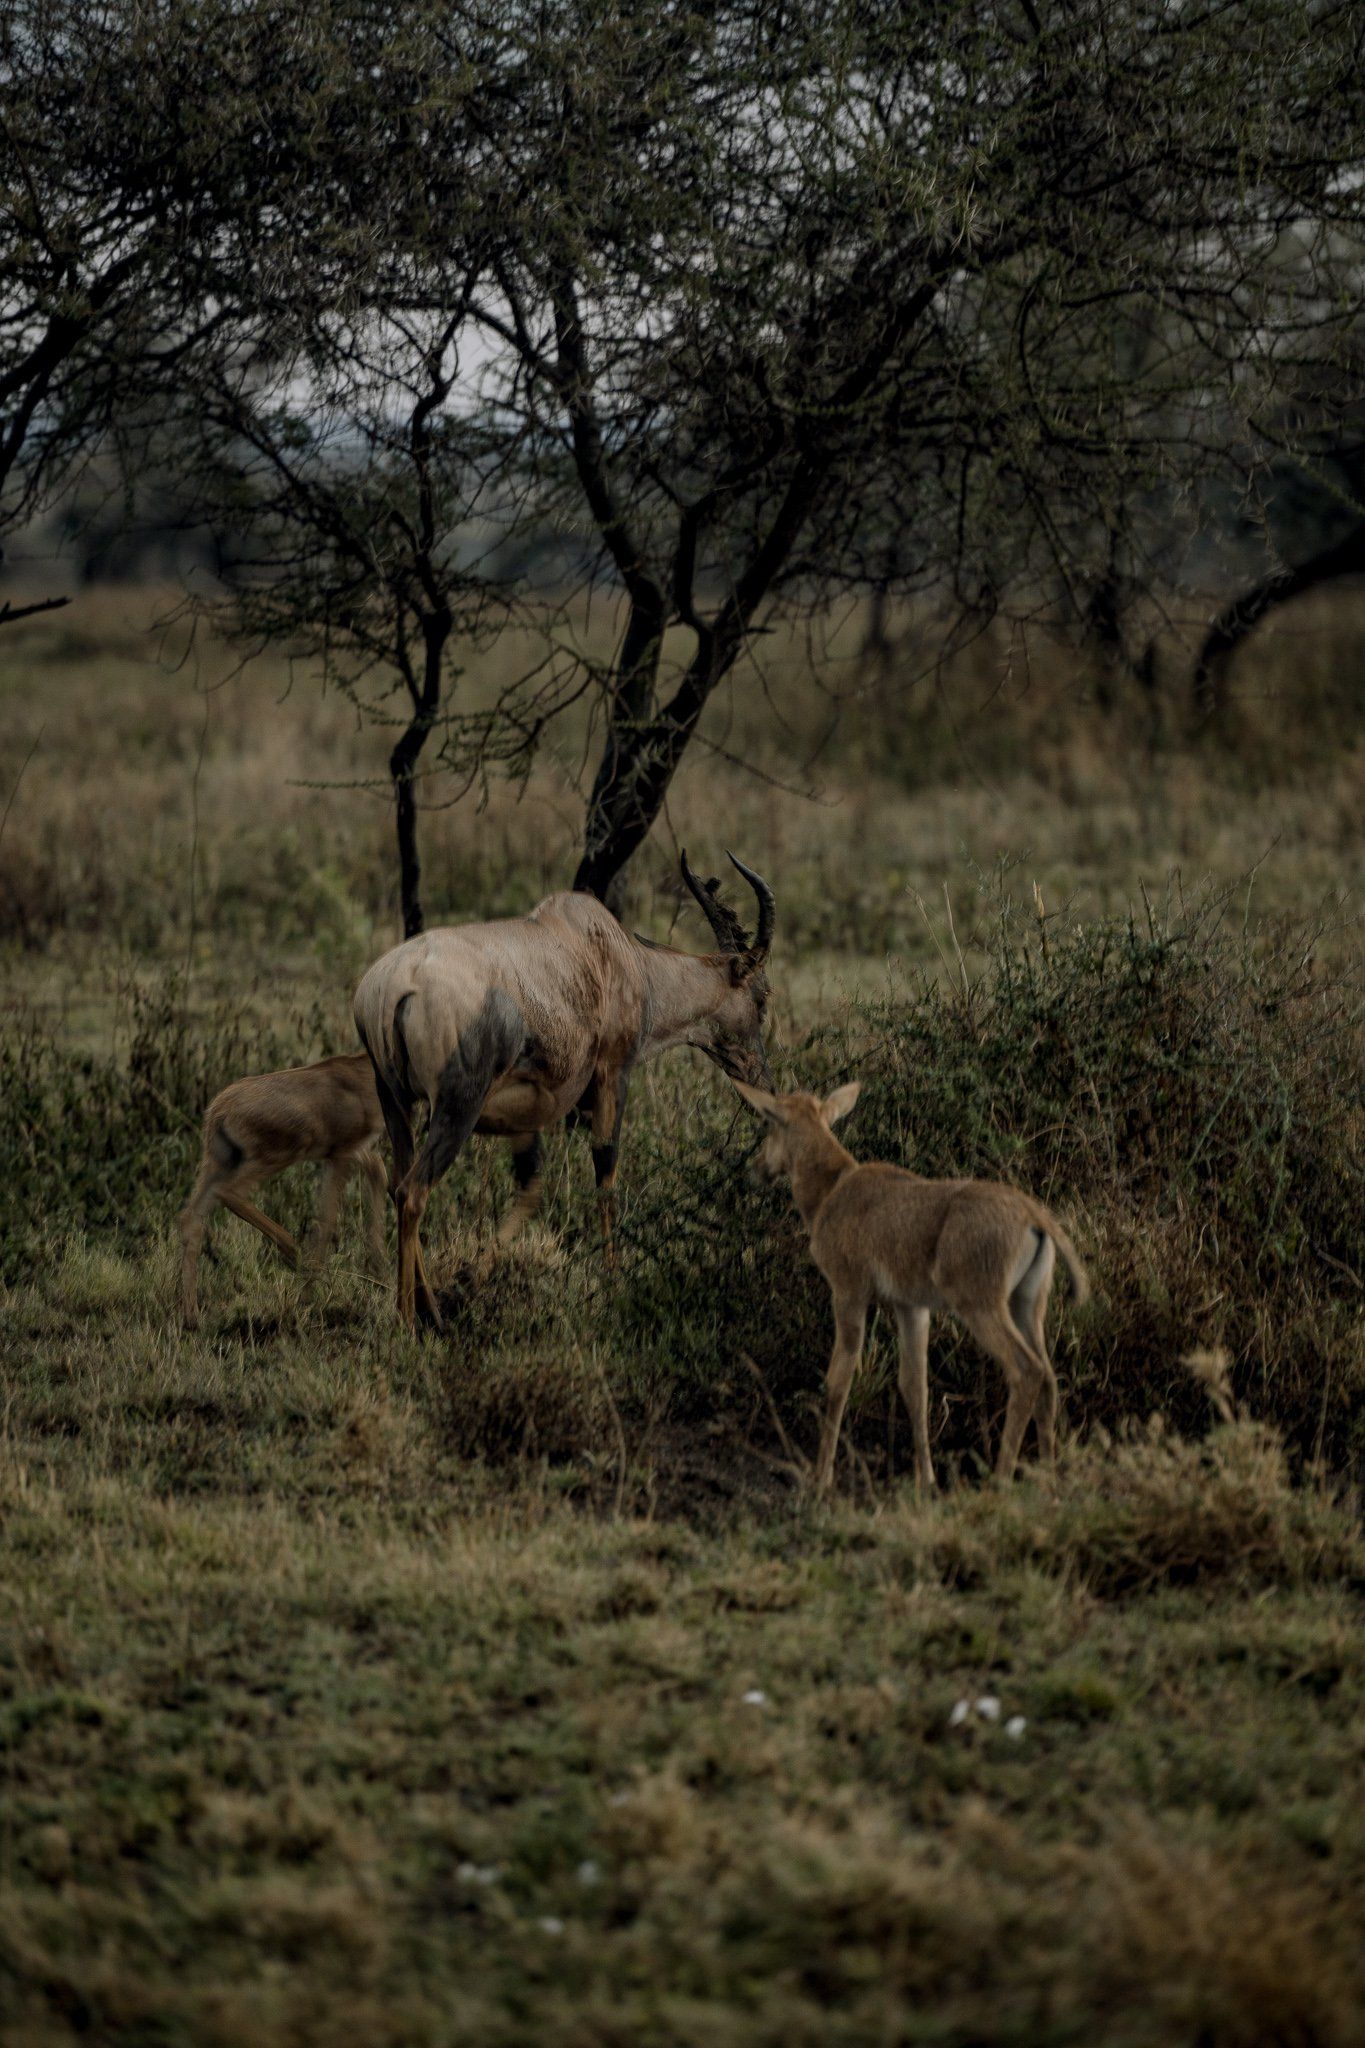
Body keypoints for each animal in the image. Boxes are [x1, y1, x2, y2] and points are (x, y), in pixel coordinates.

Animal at [178, 1052, 388, 1329]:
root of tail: (218, 1111)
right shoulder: (341, 1154)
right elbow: (327, 1220)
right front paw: (309, 1295)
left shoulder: (359, 1152)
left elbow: (379, 1176)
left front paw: (381, 1274)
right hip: (276, 1156)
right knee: (229, 1194)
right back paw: (299, 1258)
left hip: (218, 1163)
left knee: (191, 1217)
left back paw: (192, 1317)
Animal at [354, 852, 776, 1328]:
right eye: (762, 996)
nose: (765, 1087)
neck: (615, 954)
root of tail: (392, 986)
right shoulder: (613, 1074)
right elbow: (606, 1170)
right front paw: (612, 1278)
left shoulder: (527, 1110)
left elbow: (533, 1184)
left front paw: (469, 1277)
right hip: (456, 1108)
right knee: (413, 1191)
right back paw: (409, 1321)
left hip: (395, 1103)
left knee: (399, 1183)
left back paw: (431, 1310)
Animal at [733, 1078, 1089, 1491]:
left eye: (768, 1121)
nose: (756, 1169)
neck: (835, 1188)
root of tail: (1034, 1217)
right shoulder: (911, 1307)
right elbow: (914, 1386)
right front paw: (926, 1480)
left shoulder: (849, 1293)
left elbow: (839, 1378)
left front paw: (821, 1477)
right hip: (1027, 1307)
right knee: (1048, 1378)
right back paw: (1048, 1478)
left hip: (981, 1307)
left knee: (1027, 1371)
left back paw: (999, 1481)